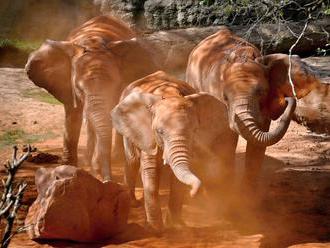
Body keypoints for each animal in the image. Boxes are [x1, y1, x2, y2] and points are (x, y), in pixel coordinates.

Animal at [25, 16, 159, 180]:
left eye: (116, 86)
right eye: (79, 89)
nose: (106, 180)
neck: (94, 42)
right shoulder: (68, 86)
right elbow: (73, 114)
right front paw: (69, 166)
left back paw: (114, 158)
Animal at [111, 70, 237, 233]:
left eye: (194, 131)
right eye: (160, 132)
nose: (194, 193)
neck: (170, 94)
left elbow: (177, 179)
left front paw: (176, 226)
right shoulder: (147, 132)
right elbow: (150, 170)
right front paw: (154, 229)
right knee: (132, 159)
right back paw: (133, 203)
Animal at [187, 26, 320, 187]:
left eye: (261, 93)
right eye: (225, 97)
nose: (287, 99)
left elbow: (259, 136)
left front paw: (248, 192)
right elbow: (228, 136)